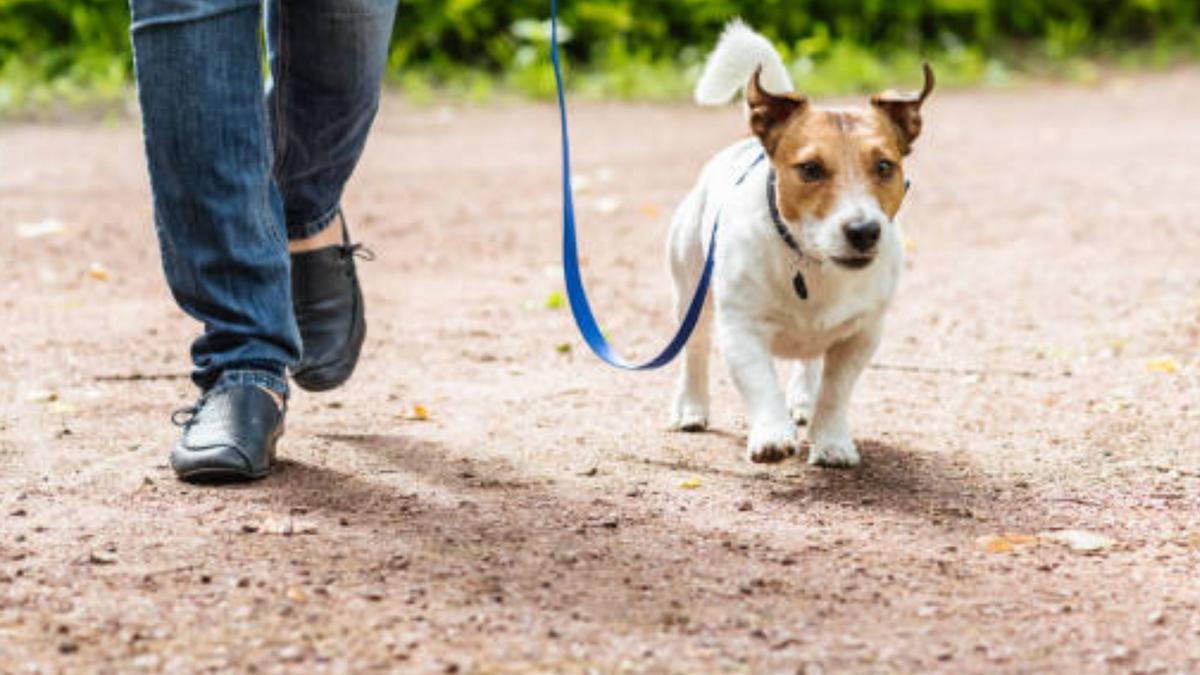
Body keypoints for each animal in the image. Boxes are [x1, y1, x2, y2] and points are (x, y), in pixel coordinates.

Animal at [672, 19, 931, 461]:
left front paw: (831, 442)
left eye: (885, 166)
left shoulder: (862, 334)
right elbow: (761, 385)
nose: (863, 231)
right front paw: (772, 436)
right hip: (691, 290)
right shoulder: (741, 331)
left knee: (810, 364)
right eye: (810, 169)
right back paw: (692, 407)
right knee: (695, 351)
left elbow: (836, 391)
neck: (811, 262)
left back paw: (803, 400)